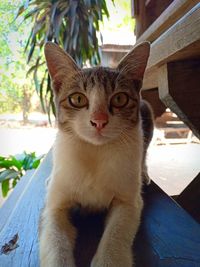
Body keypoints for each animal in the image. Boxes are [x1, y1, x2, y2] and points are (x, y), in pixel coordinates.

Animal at [39, 40, 153, 267]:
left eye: (119, 98)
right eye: (77, 99)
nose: (99, 121)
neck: (95, 152)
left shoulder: (128, 201)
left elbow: (116, 233)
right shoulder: (54, 207)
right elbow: (55, 237)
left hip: (147, 112)